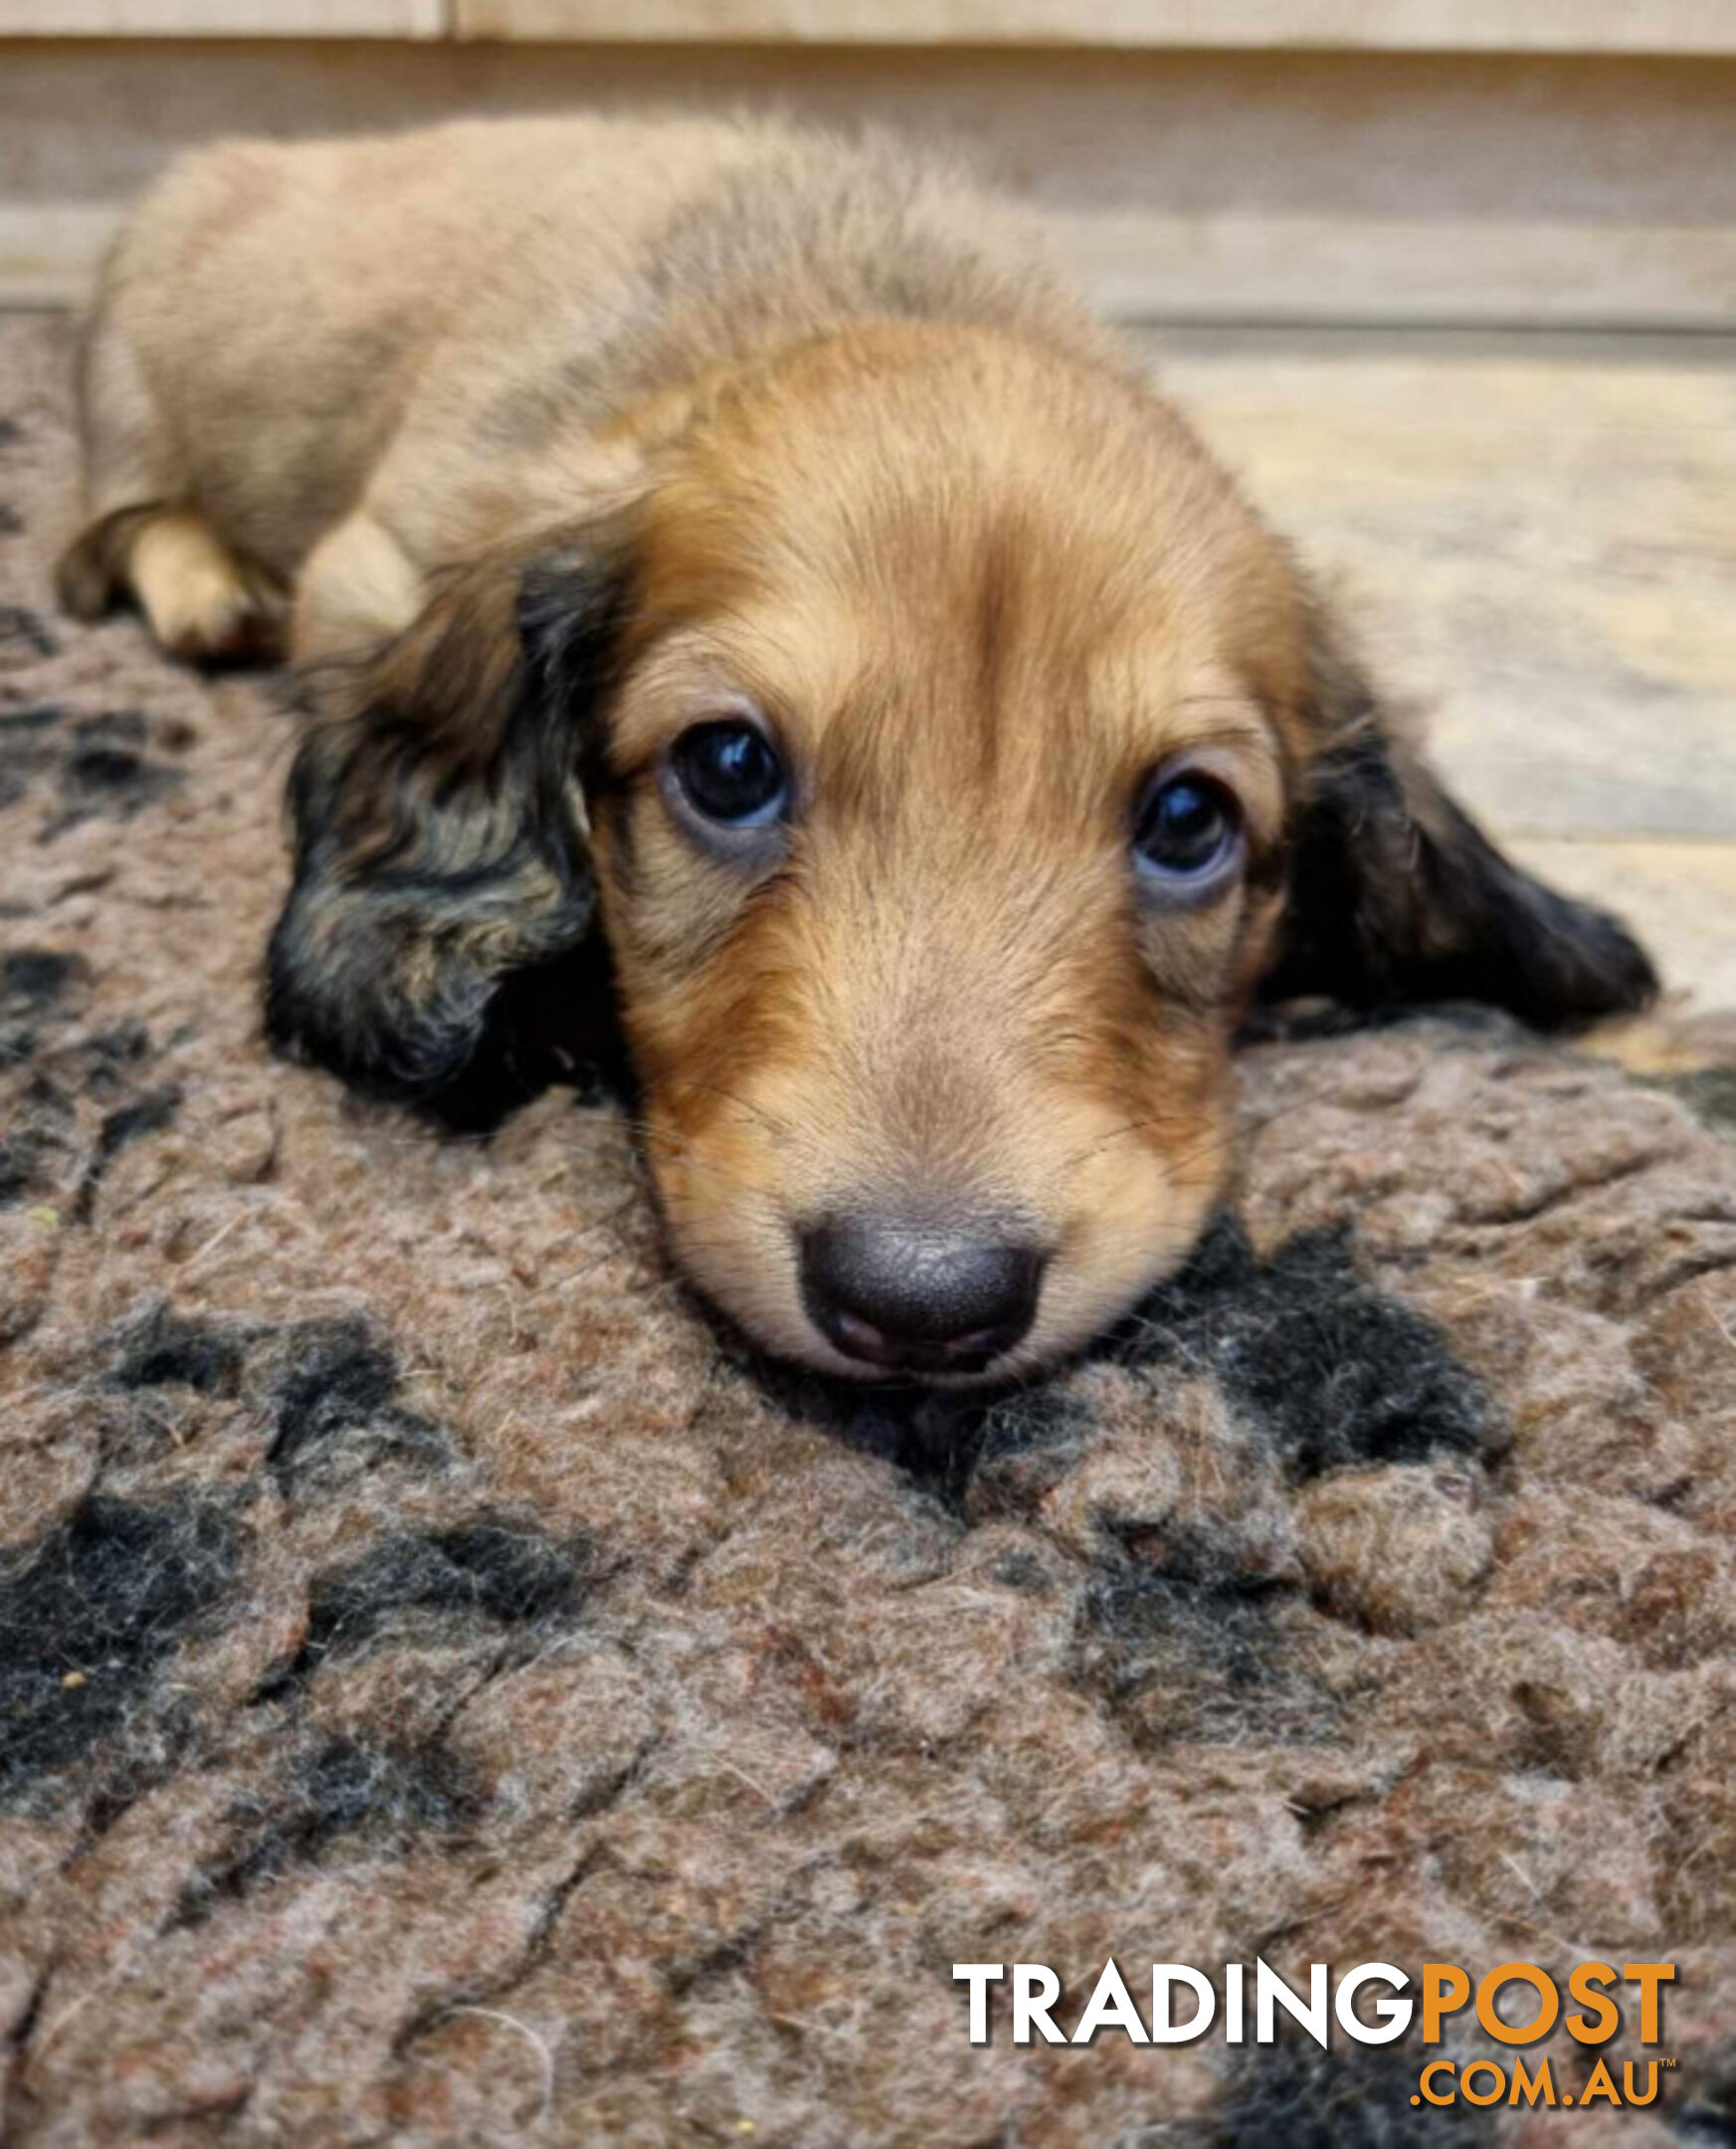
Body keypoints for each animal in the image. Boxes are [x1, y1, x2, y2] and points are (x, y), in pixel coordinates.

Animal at [58, 117, 1658, 1384]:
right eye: (727, 769)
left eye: (1189, 820)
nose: (921, 1303)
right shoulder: (373, 567)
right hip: (131, 383)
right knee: (114, 522)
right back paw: (201, 584)